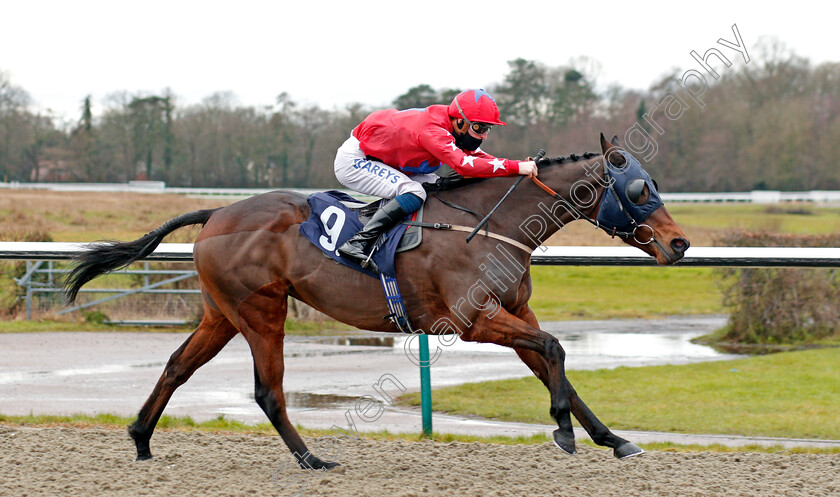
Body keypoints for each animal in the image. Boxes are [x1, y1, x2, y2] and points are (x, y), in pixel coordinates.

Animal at [60, 131, 688, 464]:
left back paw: (141, 439)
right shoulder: (474, 319)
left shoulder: (513, 312)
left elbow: (557, 366)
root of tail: (217, 212)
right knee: (267, 391)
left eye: (655, 183)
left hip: (223, 312)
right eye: (638, 189)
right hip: (261, 312)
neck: (491, 224)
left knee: (176, 366)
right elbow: (556, 350)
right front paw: (562, 430)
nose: (679, 243)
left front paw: (613, 439)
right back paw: (313, 459)